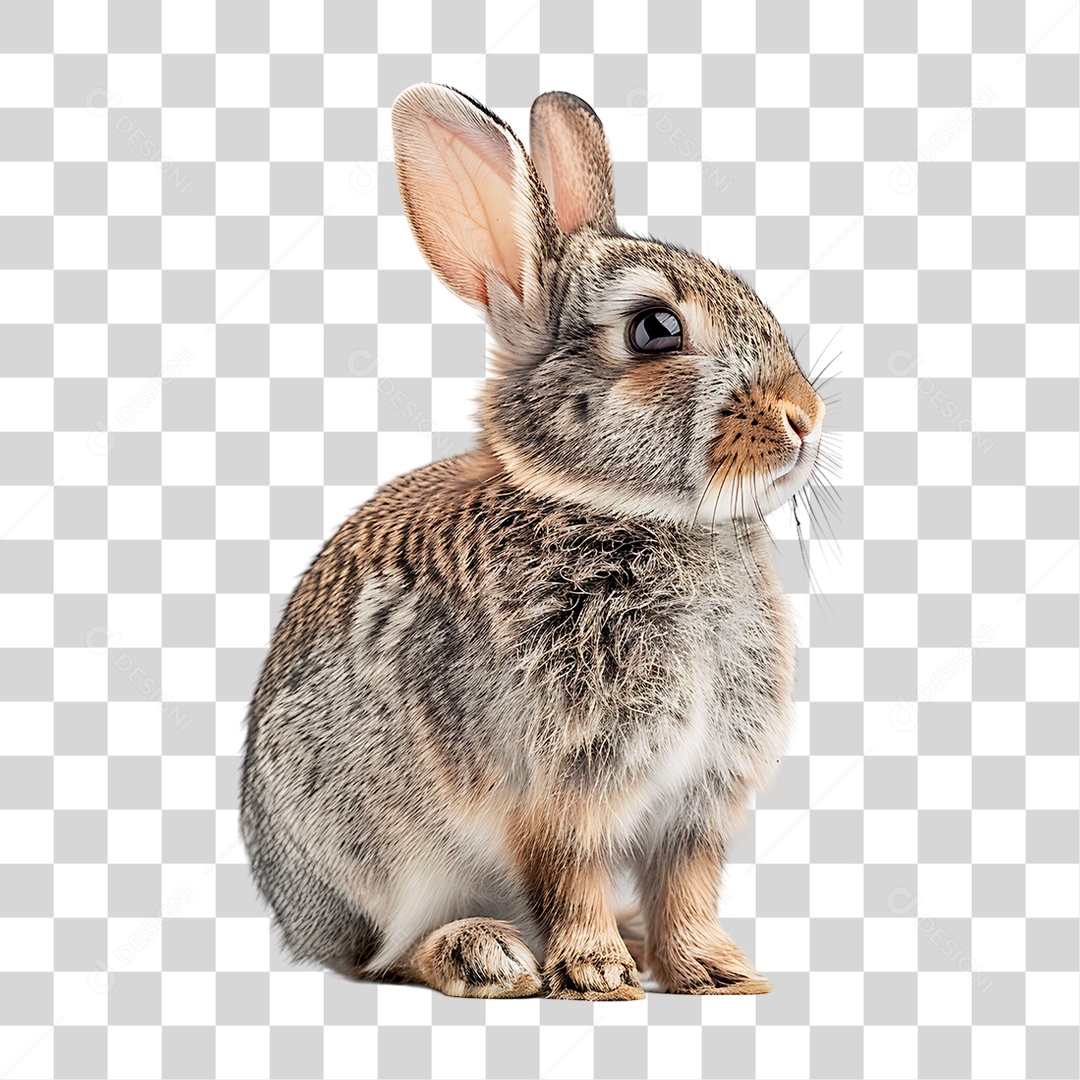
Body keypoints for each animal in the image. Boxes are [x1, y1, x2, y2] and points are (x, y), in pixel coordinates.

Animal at [239, 83, 826, 1001]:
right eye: (655, 329)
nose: (806, 416)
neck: (635, 512)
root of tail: (297, 912)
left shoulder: (697, 799)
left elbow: (687, 883)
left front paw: (716, 972)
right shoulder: (560, 783)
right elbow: (567, 872)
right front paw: (598, 975)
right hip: (385, 864)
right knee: (384, 956)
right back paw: (487, 954)